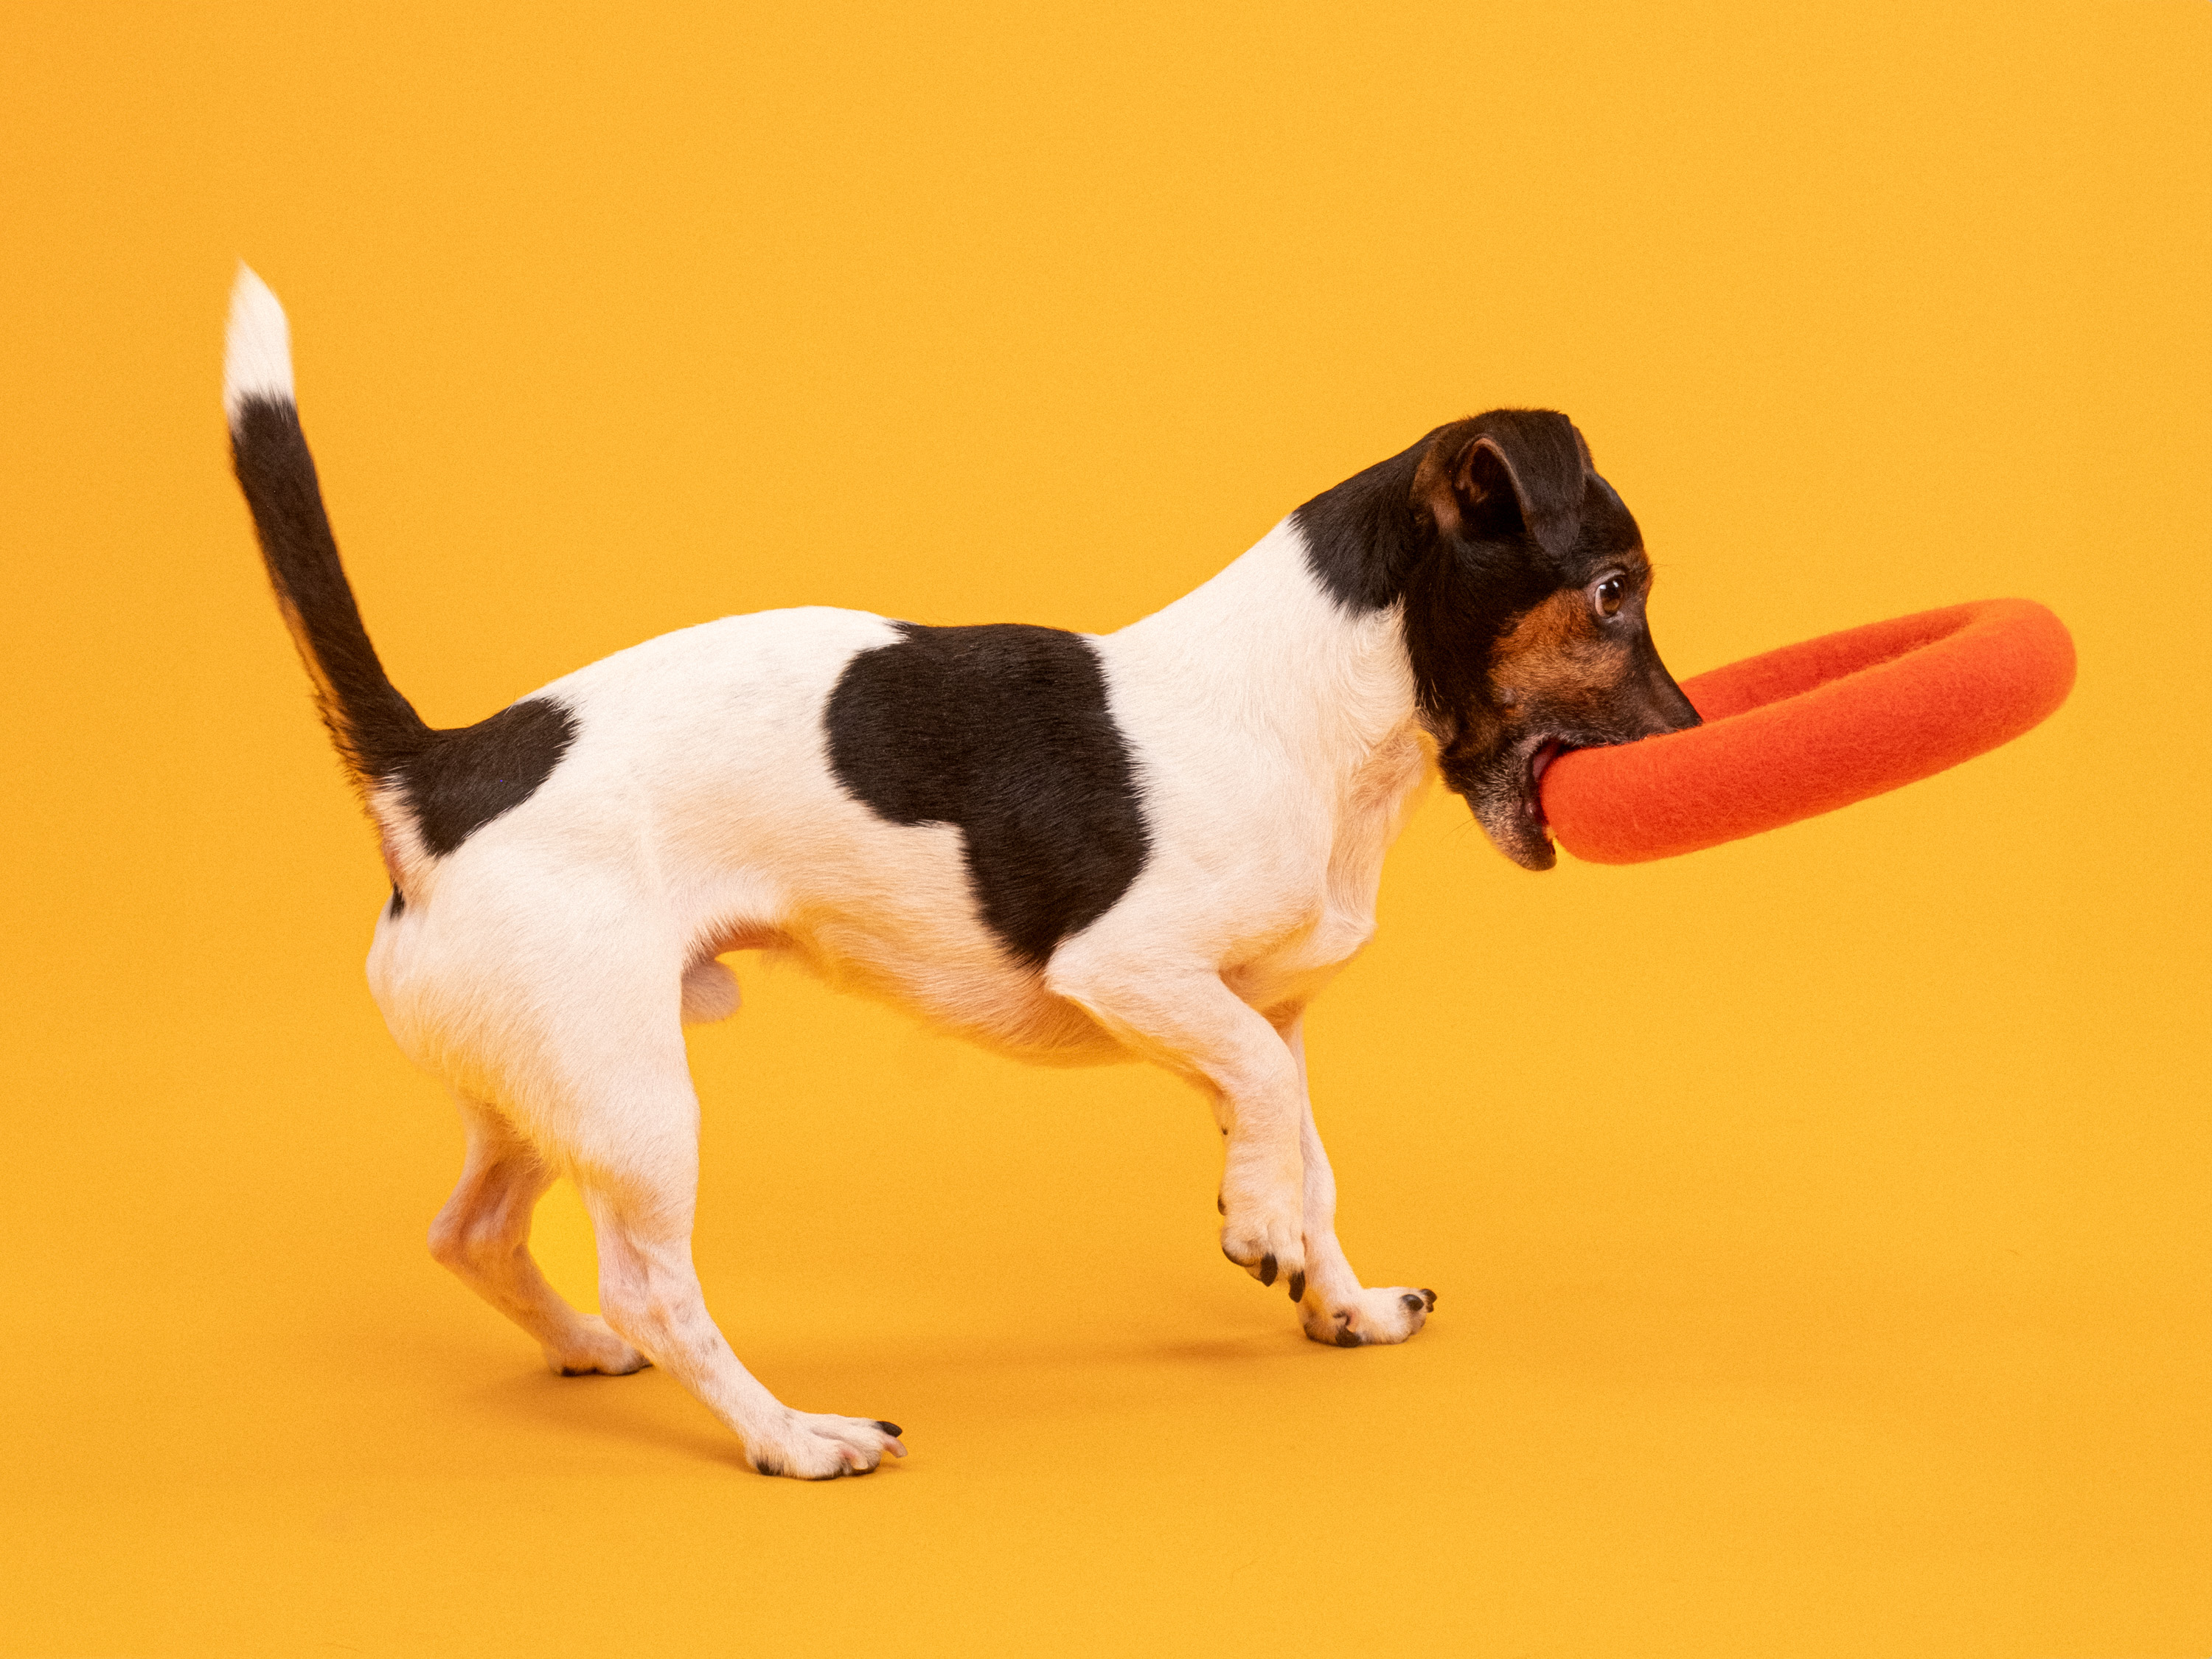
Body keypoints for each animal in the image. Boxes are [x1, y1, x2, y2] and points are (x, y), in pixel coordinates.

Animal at [224, 270, 1699, 1478]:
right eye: (1615, 590)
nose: (1695, 738)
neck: (1314, 709)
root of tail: (434, 774)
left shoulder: (1254, 1011)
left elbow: (1302, 1139)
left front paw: (1335, 1292)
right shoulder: (1136, 969)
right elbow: (1273, 1109)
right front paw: (1259, 1233)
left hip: (550, 1082)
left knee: (468, 1230)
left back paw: (585, 1344)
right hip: (636, 1101)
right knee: (656, 1285)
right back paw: (791, 1435)